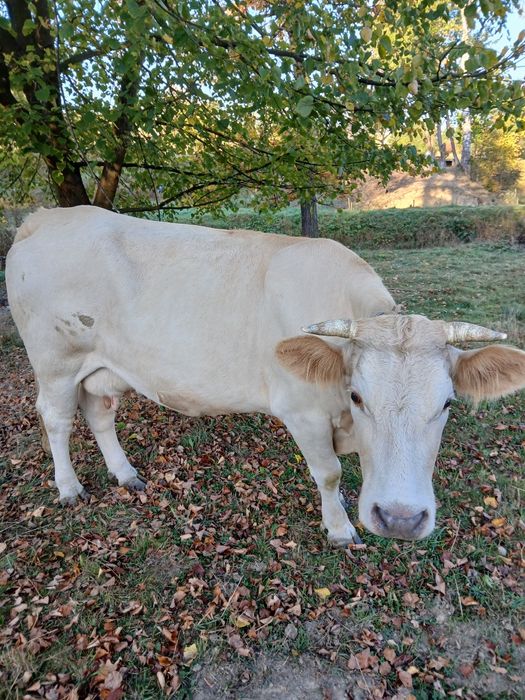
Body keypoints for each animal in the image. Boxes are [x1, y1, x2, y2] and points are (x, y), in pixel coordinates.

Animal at [6, 207, 525, 545]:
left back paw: (125, 473)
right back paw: (69, 487)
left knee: (100, 413)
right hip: (54, 362)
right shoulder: (303, 411)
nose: (399, 519)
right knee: (56, 419)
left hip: (102, 367)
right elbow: (329, 473)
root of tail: (45, 217)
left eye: (447, 403)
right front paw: (340, 529)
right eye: (357, 397)